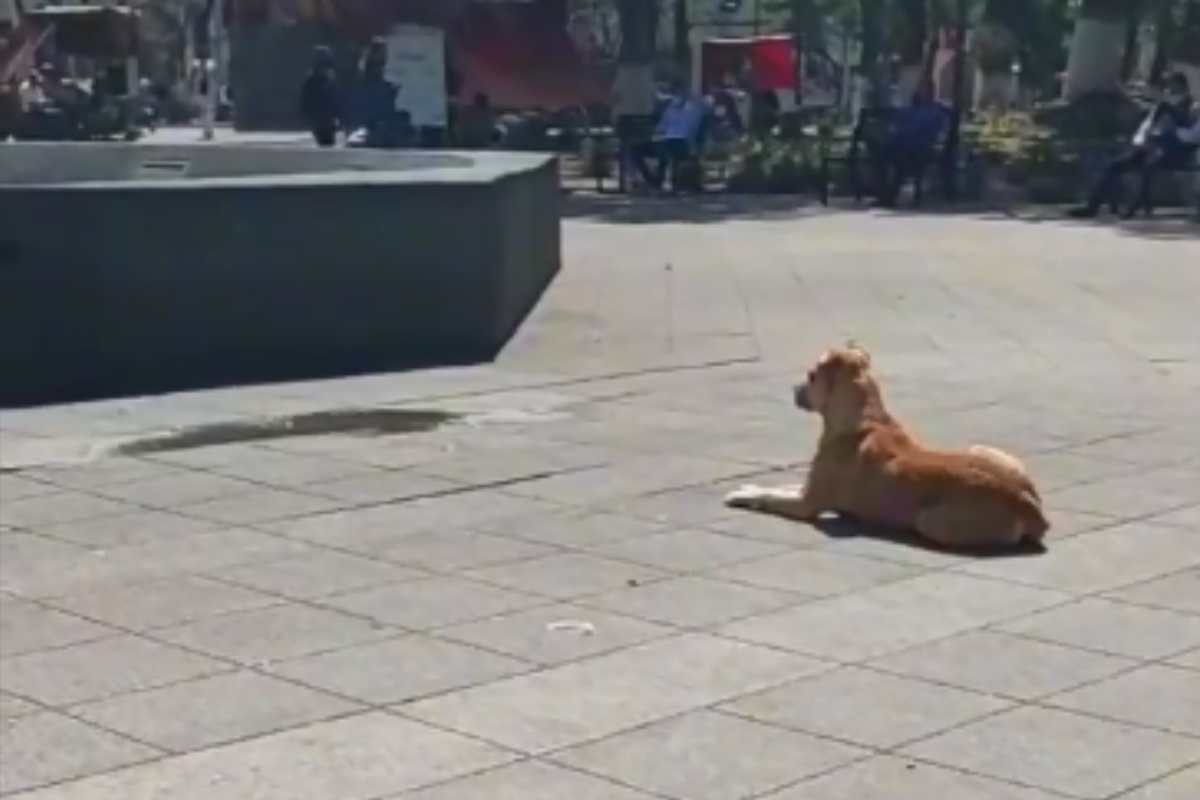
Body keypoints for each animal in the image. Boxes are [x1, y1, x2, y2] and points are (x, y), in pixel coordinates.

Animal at [720, 345, 1051, 551]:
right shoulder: (808, 487)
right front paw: (749, 485)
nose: (794, 390)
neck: (866, 419)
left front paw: (743, 495)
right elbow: (780, 485)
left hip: (931, 521)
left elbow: (771, 496)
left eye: (811, 376)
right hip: (985, 449)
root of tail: (1029, 505)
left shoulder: (806, 504)